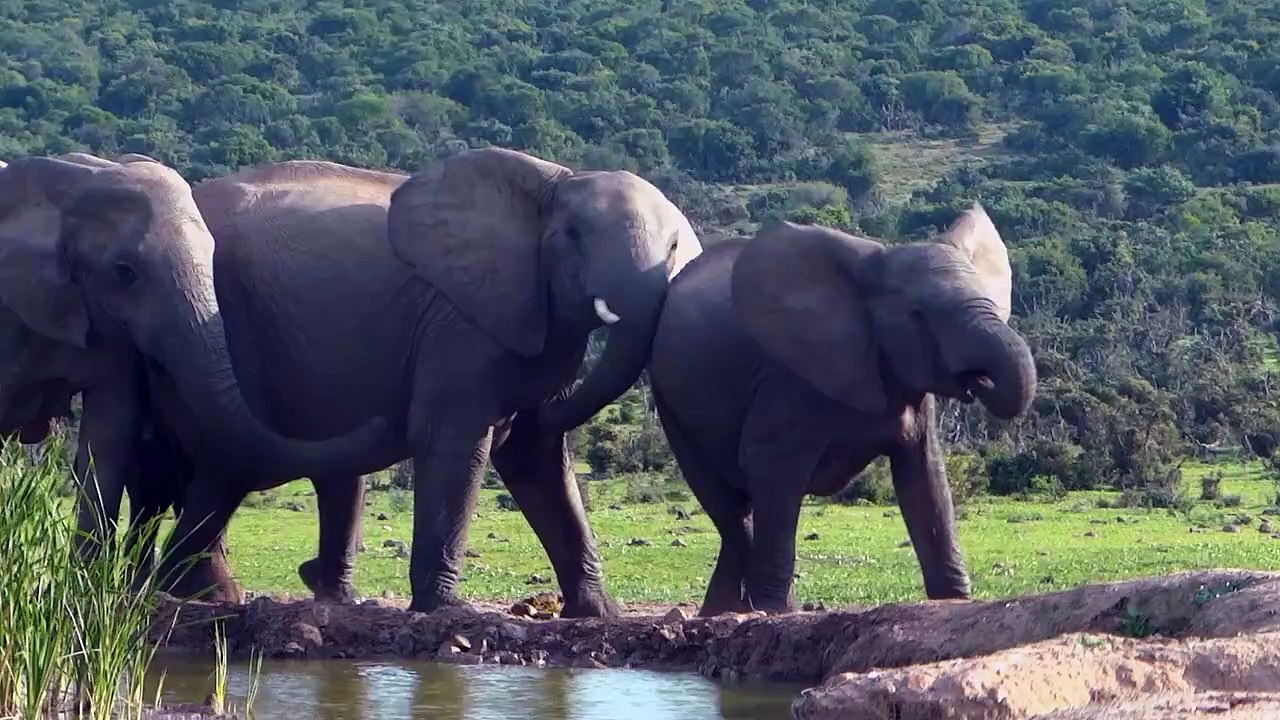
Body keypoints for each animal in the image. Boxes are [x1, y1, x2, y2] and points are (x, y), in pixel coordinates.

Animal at [647, 205, 1037, 616]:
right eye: (917, 315)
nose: (978, 379)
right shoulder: (788, 378)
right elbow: (771, 469)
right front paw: (774, 612)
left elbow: (925, 476)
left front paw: (954, 602)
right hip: (671, 400)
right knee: (729, 504)